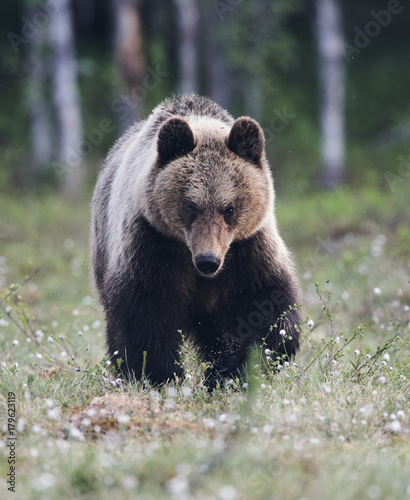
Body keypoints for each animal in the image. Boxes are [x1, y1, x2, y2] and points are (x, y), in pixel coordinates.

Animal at [90, 94, 302, 386]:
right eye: (190, 206)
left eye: (229, 208)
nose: (207, 261)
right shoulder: (151, 243)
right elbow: (144, 311)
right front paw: (160, 374)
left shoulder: (248, 249)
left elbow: (268, 304)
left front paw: (230, 369)